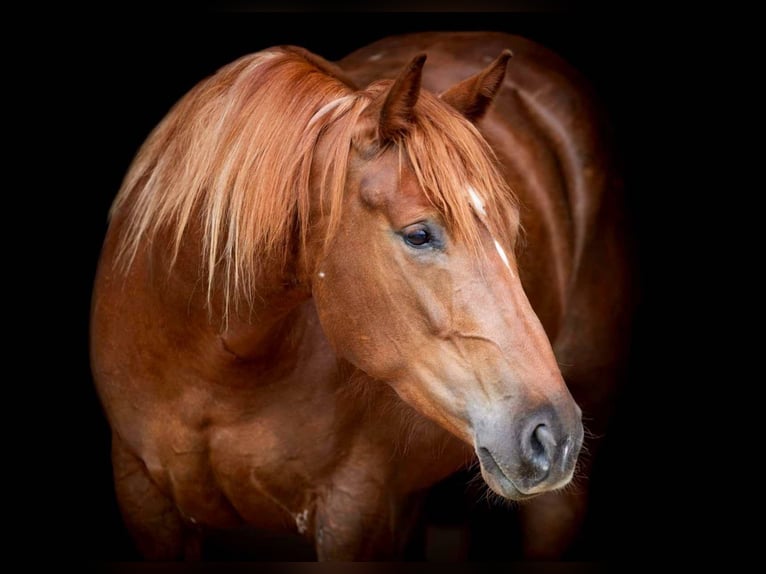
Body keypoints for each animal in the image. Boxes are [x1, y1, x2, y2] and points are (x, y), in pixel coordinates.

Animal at [90, 31, 633, 560]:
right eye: (419, 234)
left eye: (514, 228)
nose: (554, 435)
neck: (213, 364)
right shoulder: (145, 502)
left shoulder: (355, 514)